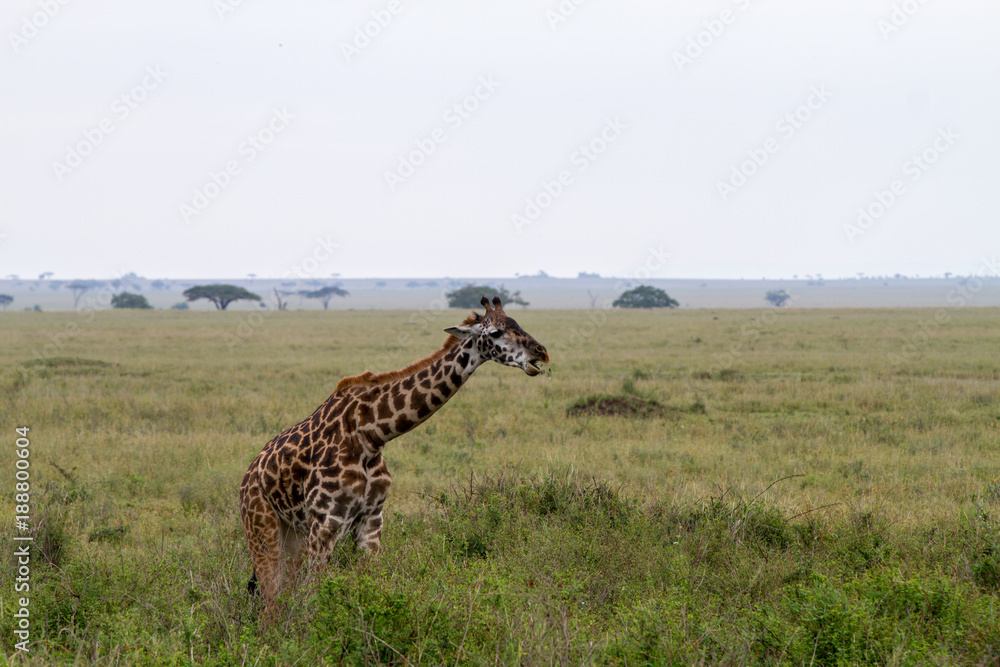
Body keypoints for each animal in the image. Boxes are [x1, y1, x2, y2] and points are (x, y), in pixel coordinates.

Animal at [239, 295, 549, 617]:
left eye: (517, 323)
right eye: (496, 333)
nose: (542, 353)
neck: (371, 435)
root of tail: (249, 474)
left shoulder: (372, 519)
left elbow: (367, 585)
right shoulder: (326, 521)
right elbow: (312, 596)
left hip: (294, 534)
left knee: (280, 595)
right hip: (262, 527)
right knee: (271, 599)